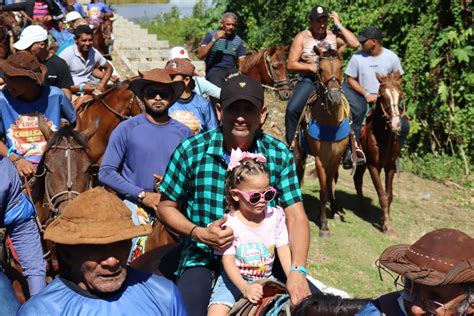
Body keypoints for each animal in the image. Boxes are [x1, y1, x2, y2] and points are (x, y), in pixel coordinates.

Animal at [294, 47, 350, 237]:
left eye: (341, 67)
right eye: (320, 69)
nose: (334, 98)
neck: (330, 121)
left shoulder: (336, 157)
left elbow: (330, 183)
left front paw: (327, 213)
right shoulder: (319, 158)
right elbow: (323, 188)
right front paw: (324, 225)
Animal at [354, 73, 402, 233]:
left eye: (400, 96)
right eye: (383, 96)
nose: (396, 124)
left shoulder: (390, 167)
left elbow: (389, 195)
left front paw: (386, 219)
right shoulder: (373, 166)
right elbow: (382, 195)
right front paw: (387, 226)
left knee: (357, 179)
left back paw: (362, 208)